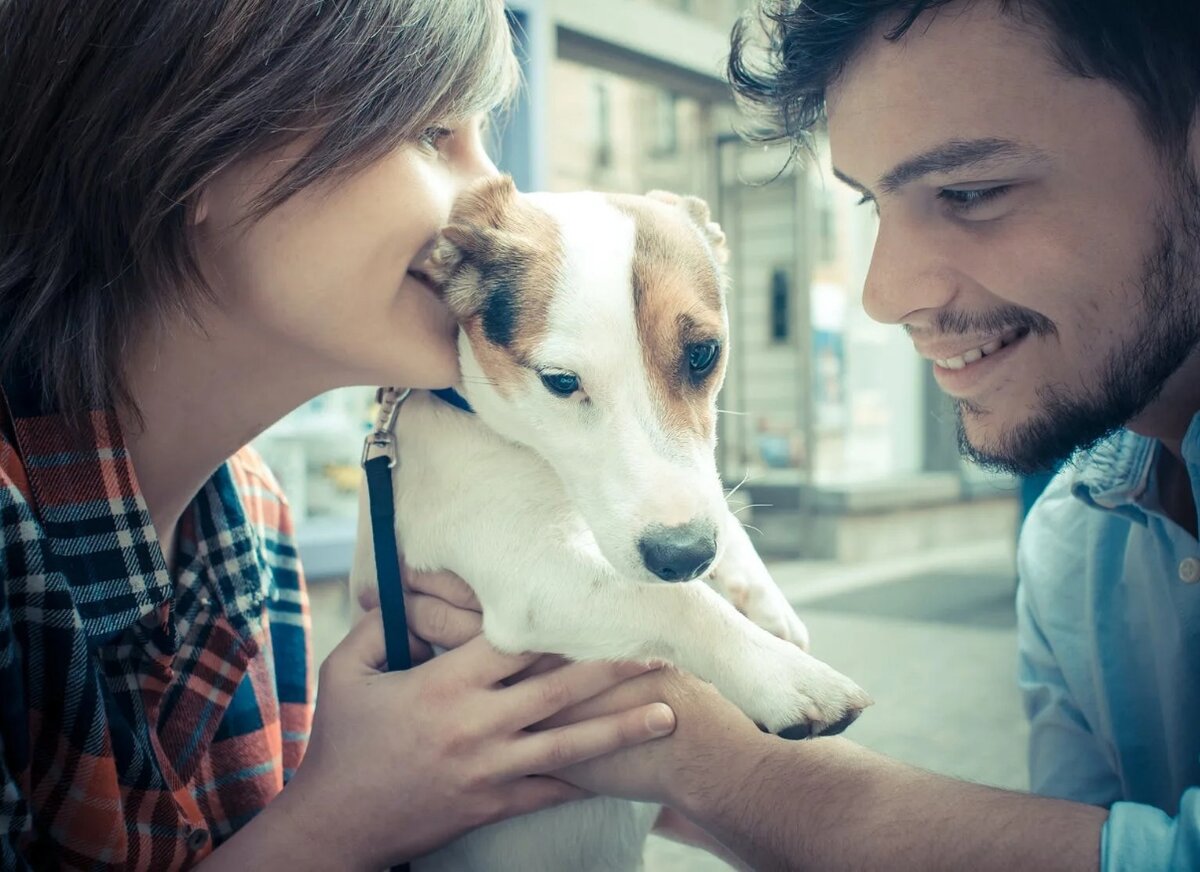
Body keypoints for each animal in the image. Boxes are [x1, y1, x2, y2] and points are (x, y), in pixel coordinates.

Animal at [350, 177, 873, 872]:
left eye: (703, 354)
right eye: (560, 381)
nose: (684, 556)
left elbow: (718, 517)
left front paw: (765, 603)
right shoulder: (533, 579)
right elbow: (678, 605)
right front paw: (781, 672)